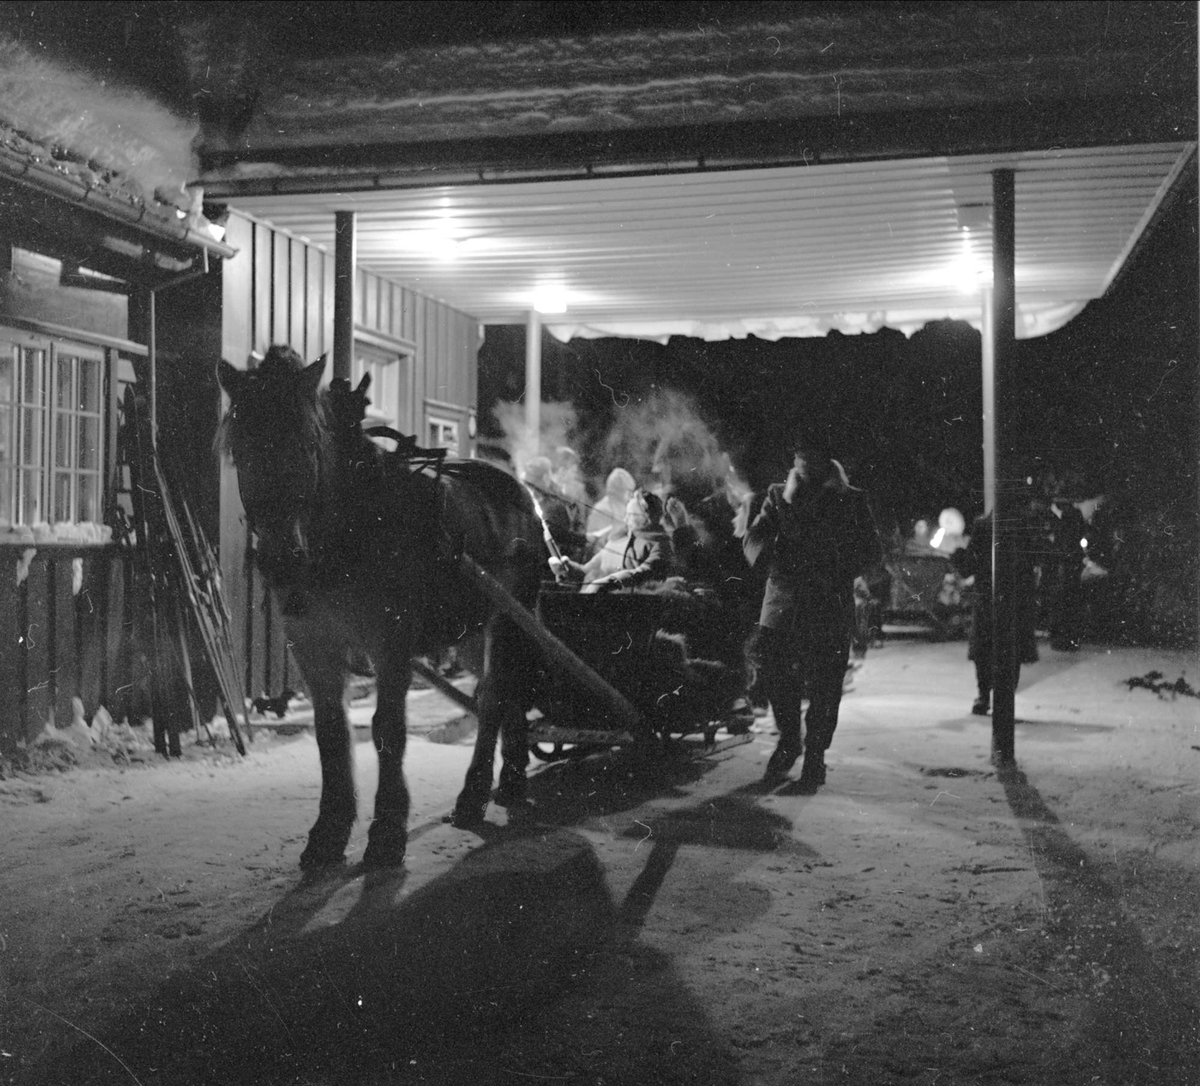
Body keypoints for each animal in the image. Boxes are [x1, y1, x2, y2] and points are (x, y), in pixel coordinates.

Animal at [218, 343, 547, 868]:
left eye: (309, 446)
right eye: (242, 449)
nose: (281, 559)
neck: (346, 531)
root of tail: (523, 496)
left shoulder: (390, 641)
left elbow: (387, 729)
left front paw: (388, 829)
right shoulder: (312, 645)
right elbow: (332, 733)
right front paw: (329, 831)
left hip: (510, 618)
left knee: (496, 694)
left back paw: (475, 792)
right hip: (473, 628)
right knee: (499, 692)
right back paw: (510, 778)